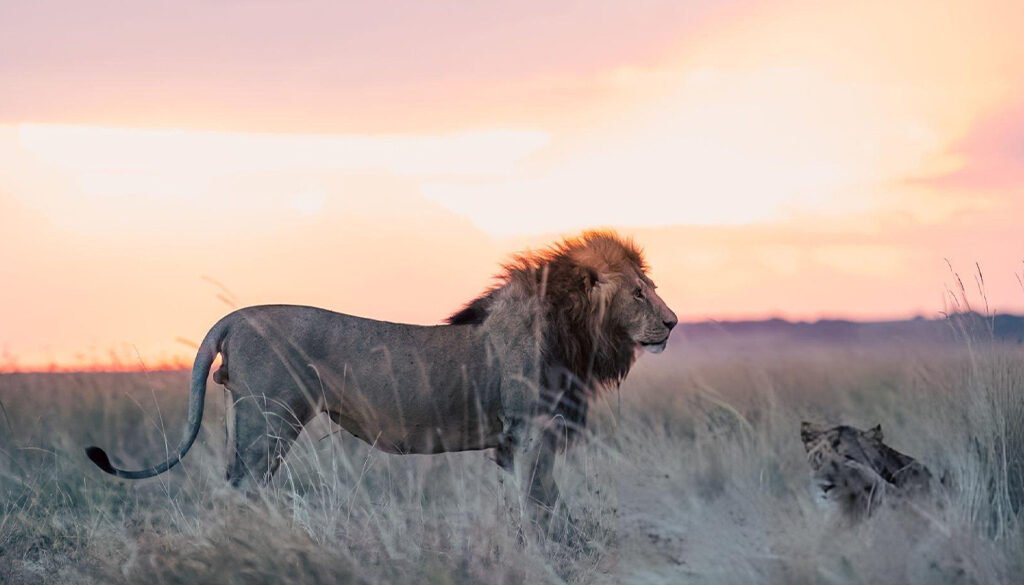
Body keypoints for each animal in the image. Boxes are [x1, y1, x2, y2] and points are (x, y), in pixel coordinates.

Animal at [86, 230, 677, 532]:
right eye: (638, 293)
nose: (673, 322)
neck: (576, 333)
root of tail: (235, 317)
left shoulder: (526, 440)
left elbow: (547, 502)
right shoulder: (529, 431)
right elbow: (540, 508)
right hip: (269, 419)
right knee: (241, 486)